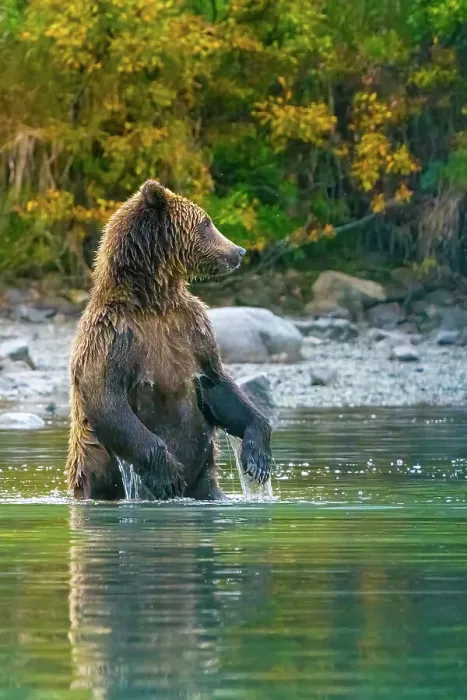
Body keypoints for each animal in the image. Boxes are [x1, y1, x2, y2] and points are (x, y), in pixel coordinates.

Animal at [66, 180, 272, 500]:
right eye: (206, 222)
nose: (238, 250)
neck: (153, 300)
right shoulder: (111, 335)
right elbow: (107, 398)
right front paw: (168, 474)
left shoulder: (192, 327)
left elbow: (217, 383)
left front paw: (257, 455)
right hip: (96, 469)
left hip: (204, 478)